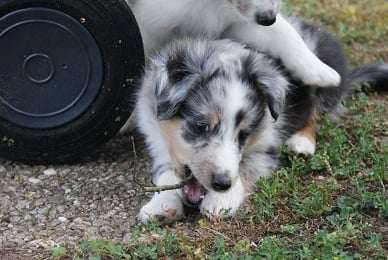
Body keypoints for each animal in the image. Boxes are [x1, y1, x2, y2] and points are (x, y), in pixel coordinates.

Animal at [135, 17, 386, 224]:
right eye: (201, 126)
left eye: (244, 134)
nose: (222, 185)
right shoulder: (158, 142)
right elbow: (167, 173)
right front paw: (160, 205)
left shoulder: (267, 148)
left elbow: (247, 166)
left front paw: (220, 201)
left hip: (323, 79)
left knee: (316, 115)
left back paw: (301, 142)